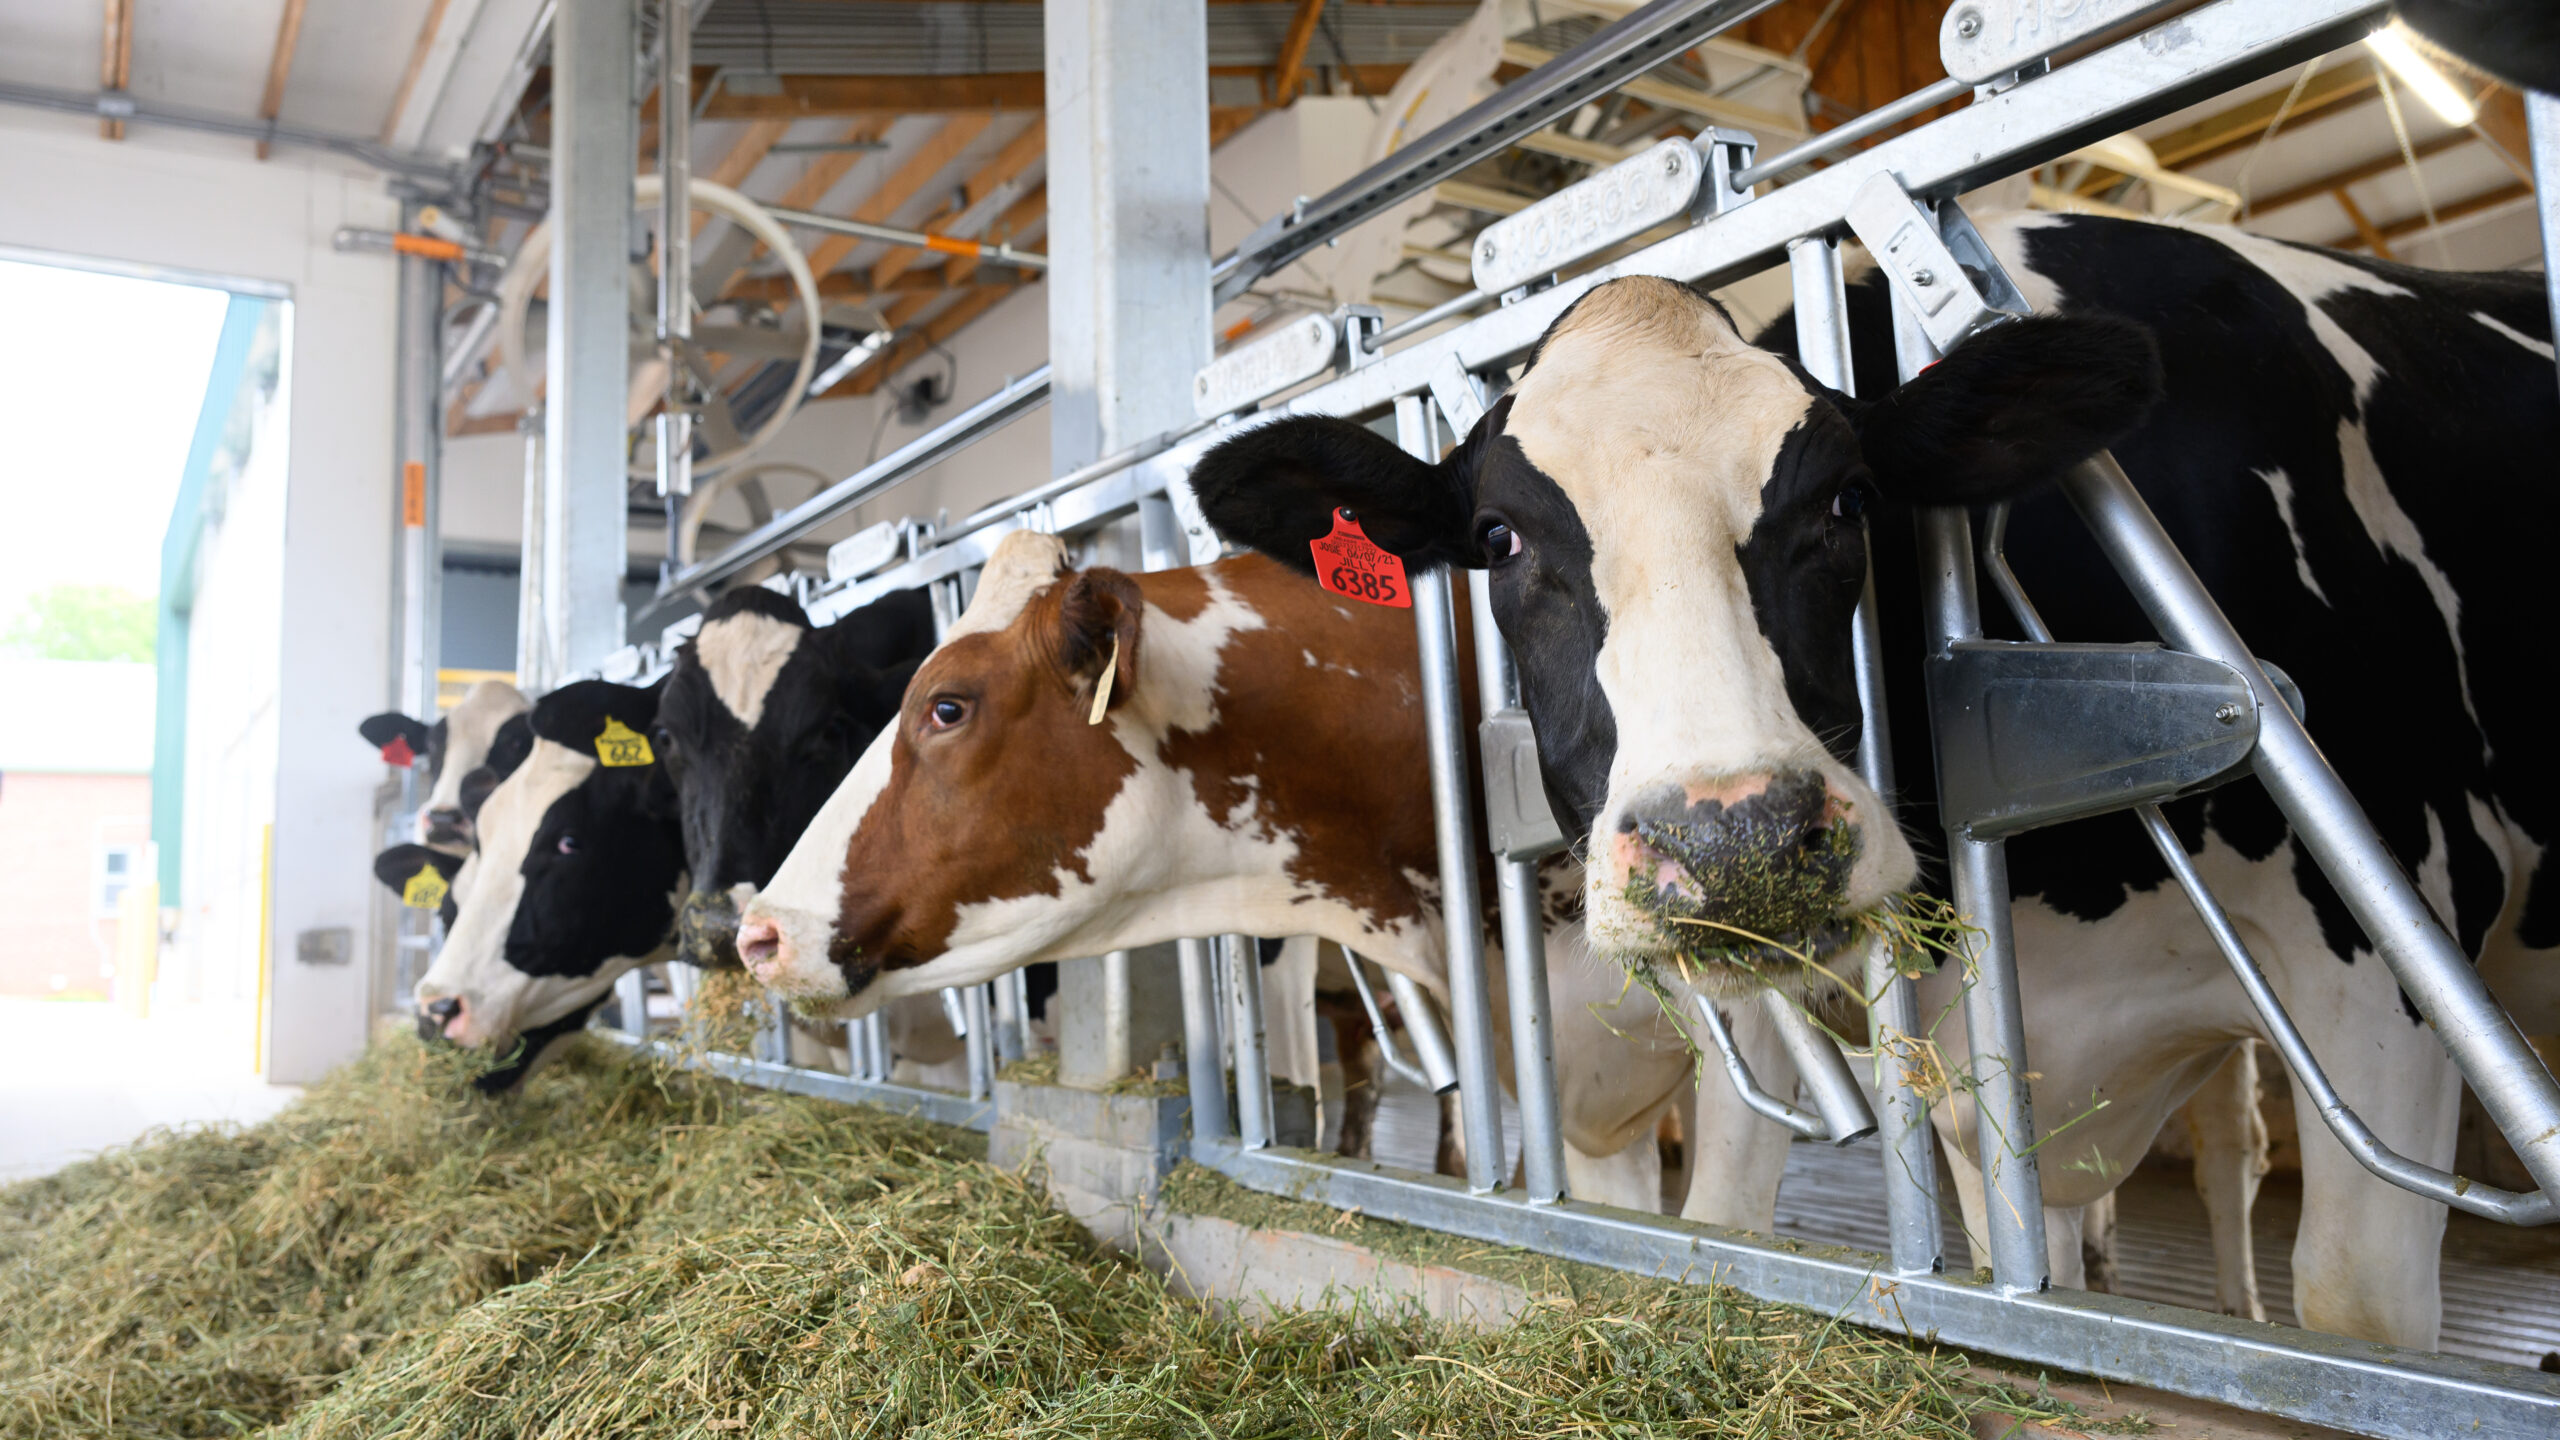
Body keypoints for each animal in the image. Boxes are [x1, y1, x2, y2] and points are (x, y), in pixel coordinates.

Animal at [1187, 215, 2549, 1342]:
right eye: (1498, 538)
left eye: (1847, 500)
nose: (1734, 843)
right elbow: (1744, 1221)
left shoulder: (2400, 940)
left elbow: (2354, 1303)